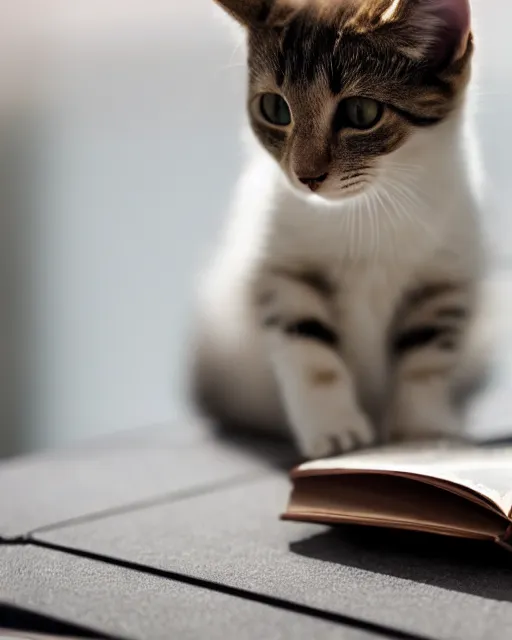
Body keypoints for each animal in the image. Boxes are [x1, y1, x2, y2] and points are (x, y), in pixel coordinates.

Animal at [189, 0, 488, 460]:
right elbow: (310, 351)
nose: (306, 176)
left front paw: (421, 432)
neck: (371, 208)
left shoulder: (445, 277)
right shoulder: (283, 267)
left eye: (361, 113)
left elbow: (425, 359)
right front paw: (335, 430)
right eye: (274, 108)